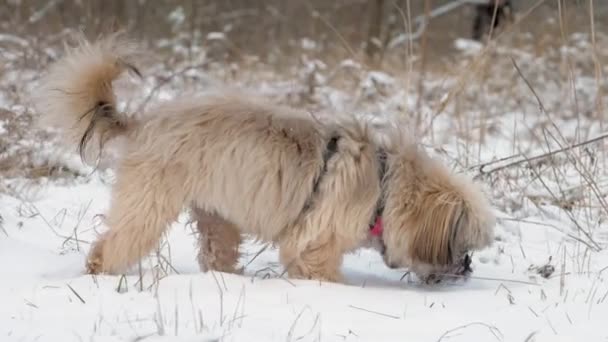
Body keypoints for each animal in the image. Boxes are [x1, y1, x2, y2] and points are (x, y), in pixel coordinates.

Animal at [33, 35, 496, 284]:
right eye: (462, 246)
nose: (468, 268)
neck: (383, 187)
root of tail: (144, 120)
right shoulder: (313, 245)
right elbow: (319, 270)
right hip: (148, 204)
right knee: (112, 245)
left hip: (218, 217)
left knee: (215, 254)